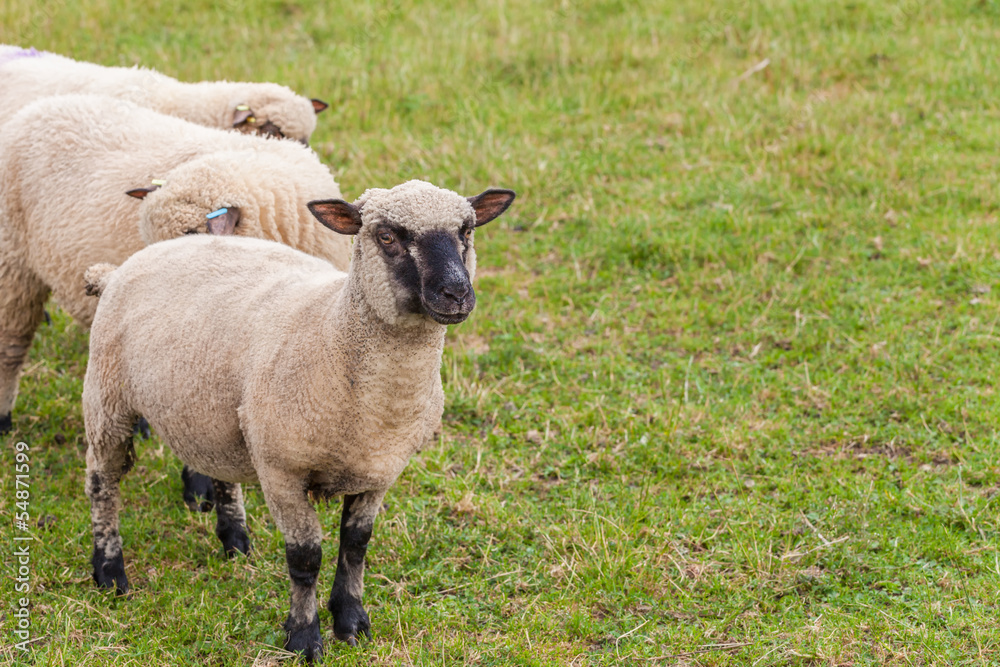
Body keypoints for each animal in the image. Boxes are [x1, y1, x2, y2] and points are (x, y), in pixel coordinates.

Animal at [81, 180, 516, 661]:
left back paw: (234, 540)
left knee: (218, 468)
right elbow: (305, 558)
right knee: (103, 481)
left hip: (213, 409)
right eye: (386, 236)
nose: (457, 293)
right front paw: (304, 637)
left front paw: (351, 620)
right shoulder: (282, 472)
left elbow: (355, 546)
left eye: (466, 230)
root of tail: (121, 267)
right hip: (108, 398)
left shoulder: (379, 470)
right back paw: (110, 572)